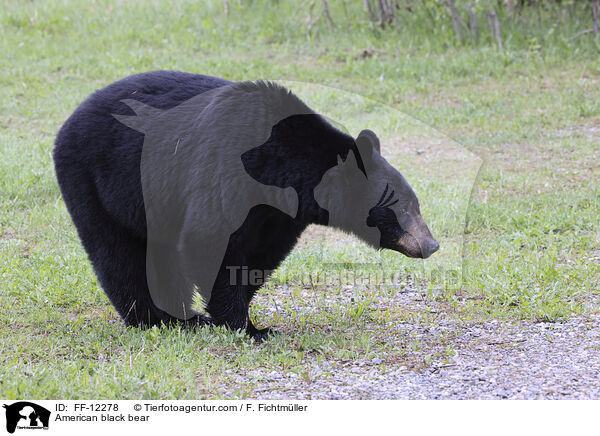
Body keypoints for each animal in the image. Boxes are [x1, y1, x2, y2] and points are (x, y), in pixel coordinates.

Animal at [55, 70, 440, 340]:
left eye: (416, 203)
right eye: (403, 206)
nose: (431, 244)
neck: (282, 167)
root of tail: (68, 121)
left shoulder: (279, 214)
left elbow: (260, 254)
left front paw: (241, 317)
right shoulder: (228, 175)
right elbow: (208, 241)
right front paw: (246, 327)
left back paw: (180, 316)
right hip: (94, 180)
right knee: (119, 253)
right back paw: (157, 319)